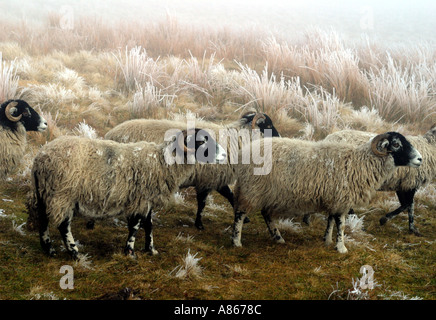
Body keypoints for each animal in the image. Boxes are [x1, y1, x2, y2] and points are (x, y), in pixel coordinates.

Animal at [30, 128, 227, 260]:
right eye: (201, 142)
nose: (225, 155)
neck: (163, 162)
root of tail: (40, 158)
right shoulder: (139, 199)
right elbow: (135, 226)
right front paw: (130, 252)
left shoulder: (147, 200)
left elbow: (149, 225)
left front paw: (151, 249)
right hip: (63, 194)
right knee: (63, 225)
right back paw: (75, 253)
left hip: (45, 193)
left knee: (43, 219)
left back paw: (48, 250)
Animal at [103, 110, 280, 230]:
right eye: (268, 125)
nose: (279, 136)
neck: (236, 140)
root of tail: (110, 134)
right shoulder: (208, 179)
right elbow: (203, 203)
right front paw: (199, 224)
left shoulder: (215, 178)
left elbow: (228, 196)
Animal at [232, 132, 422, 252]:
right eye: (396, 144)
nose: (420, 159)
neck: (359, 164)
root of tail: (244, 152)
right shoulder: (342, 198)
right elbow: (341, 224)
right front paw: (341, 247)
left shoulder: (335, 198)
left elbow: (331, 220)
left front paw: (327, 240)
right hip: (252, 189)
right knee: (240, 214)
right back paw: (236, 241)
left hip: (268, 192)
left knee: (266, 214)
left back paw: (278, 238)